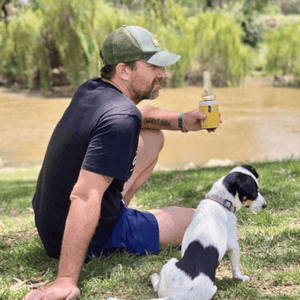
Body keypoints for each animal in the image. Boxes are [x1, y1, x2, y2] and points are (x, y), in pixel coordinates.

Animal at [108, 165, 268, 298]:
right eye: (254, 192)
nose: (265, 205)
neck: (219, 200)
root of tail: (174, 296)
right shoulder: (233, 244)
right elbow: (236, 266)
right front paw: (241, 277)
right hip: (172, 263)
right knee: (156, 285)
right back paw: (154, 276)